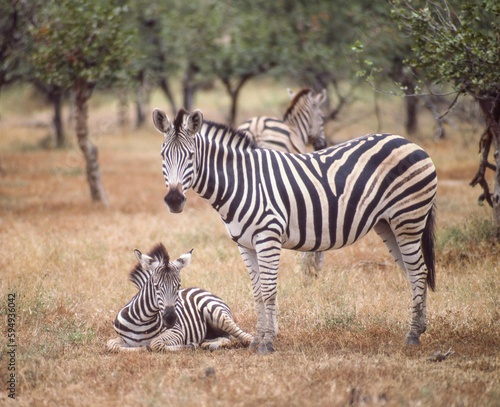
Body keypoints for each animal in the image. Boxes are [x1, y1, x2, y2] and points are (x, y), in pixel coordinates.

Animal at [107, 242, 252, 354]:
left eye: (178, 286)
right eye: (156, 286)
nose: (171, 318)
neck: (142, 321)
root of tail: (203, 290)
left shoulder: (177, 332)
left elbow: (155, 343)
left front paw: (190, 345)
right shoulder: (122, 338)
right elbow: (111, 345)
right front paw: (140, 349)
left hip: (217, 314)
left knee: (243, 336)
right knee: (227, 337)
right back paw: (208, 344)